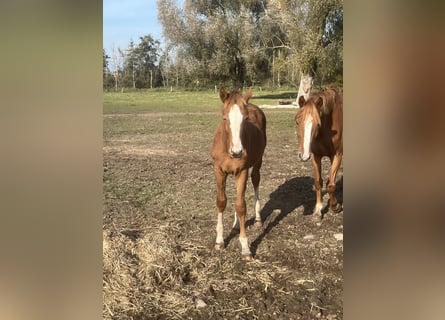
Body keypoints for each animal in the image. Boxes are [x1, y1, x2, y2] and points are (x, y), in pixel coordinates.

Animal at [210, 87, 266, 260]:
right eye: (224, 118)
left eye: (246, 119)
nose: (237, 152)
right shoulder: (219, 170)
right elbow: (221, 201)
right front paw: (219, 241)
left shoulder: (242, 171)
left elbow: (241, 206)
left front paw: (245, 247)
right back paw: (235, 225)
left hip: (257, 161)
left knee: (255, 180)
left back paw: (258, 219)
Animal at [294, 84, 344, 220]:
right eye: (297, 121)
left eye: (318, 124)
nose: (303, 155)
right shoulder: (315, 156)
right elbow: (318, 182)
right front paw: (318, 210)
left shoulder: (337, 155)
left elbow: (330, 185)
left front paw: (335, 206)